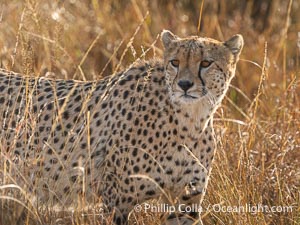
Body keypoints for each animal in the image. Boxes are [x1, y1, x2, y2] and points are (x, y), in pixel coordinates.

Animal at [0, 29, 243, 223]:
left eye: (205, 63)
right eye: (175, 62)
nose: (184, 84)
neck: (190, 120)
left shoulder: (185, 204)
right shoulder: (115, 202)